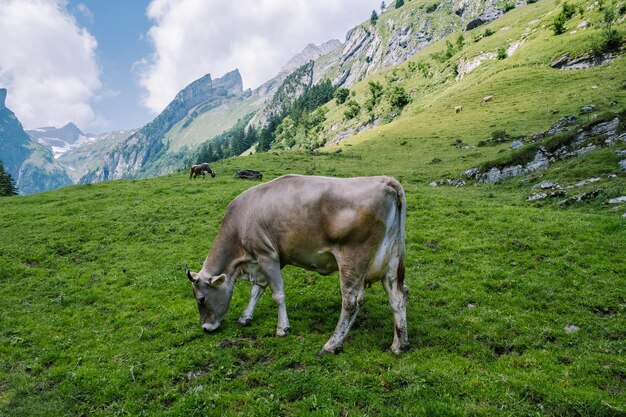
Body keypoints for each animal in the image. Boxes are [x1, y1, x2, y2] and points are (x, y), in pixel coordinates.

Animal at [183, 174, 408, 352]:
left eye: (201, 299)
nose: (206, 328)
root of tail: (384, 180)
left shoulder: (267, 255)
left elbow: (277, 294)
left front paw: (282, 328)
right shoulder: (263, 260)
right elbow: (256, 290)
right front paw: (245, 317)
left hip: (353, 258)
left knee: (351, 302)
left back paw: (332, 345)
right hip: (391, 259)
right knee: (398, 294)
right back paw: (399, 344)